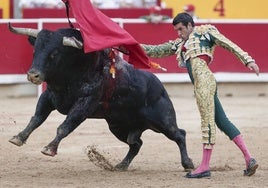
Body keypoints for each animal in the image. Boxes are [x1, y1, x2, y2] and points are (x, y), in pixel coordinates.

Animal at [7, 23, 193, 170]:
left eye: (55, 53)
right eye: (35, 51)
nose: (33, 75)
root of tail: (160, 87)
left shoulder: (84, 104)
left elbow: (64, 126)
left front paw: (50, 148)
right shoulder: (49, 97)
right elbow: (36, 118)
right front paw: (18, 138)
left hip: (162, 121)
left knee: (179, 134)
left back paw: (188, 164)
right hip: (118, 127)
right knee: (136, 144)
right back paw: (121, 165)